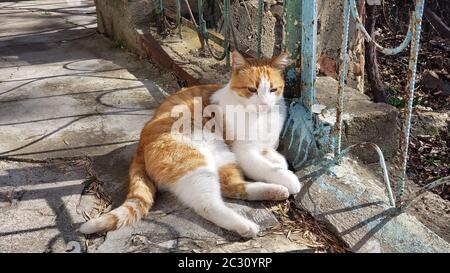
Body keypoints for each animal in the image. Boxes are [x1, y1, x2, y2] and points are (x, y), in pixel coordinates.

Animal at [80, 51, 302, 236]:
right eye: (252, 89)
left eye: (273, 90)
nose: (264, 104)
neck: (261, 119)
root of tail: (140, 145)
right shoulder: (243, 152)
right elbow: (267, 168)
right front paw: (289, 179)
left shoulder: (264, 146)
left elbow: (277, 159)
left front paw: (280, 166)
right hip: (197, 162)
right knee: (208, 204)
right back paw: (246, 225)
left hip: (222, 157)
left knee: (232, 187)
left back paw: (275, 191)